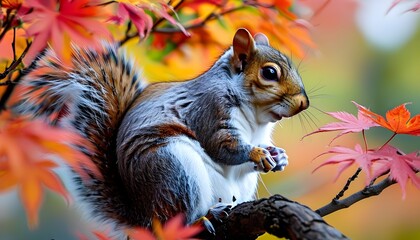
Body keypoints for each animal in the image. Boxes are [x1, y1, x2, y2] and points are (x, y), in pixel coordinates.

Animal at [13, 28, 308, 234]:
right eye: (269, 73)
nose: (303, 103)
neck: (256, 118)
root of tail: (143, 218)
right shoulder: (210, 111)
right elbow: (223, 147)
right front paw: (256, 153)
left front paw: (279, 156)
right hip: (173, 171)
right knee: (175, 220)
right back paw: (204, 218)